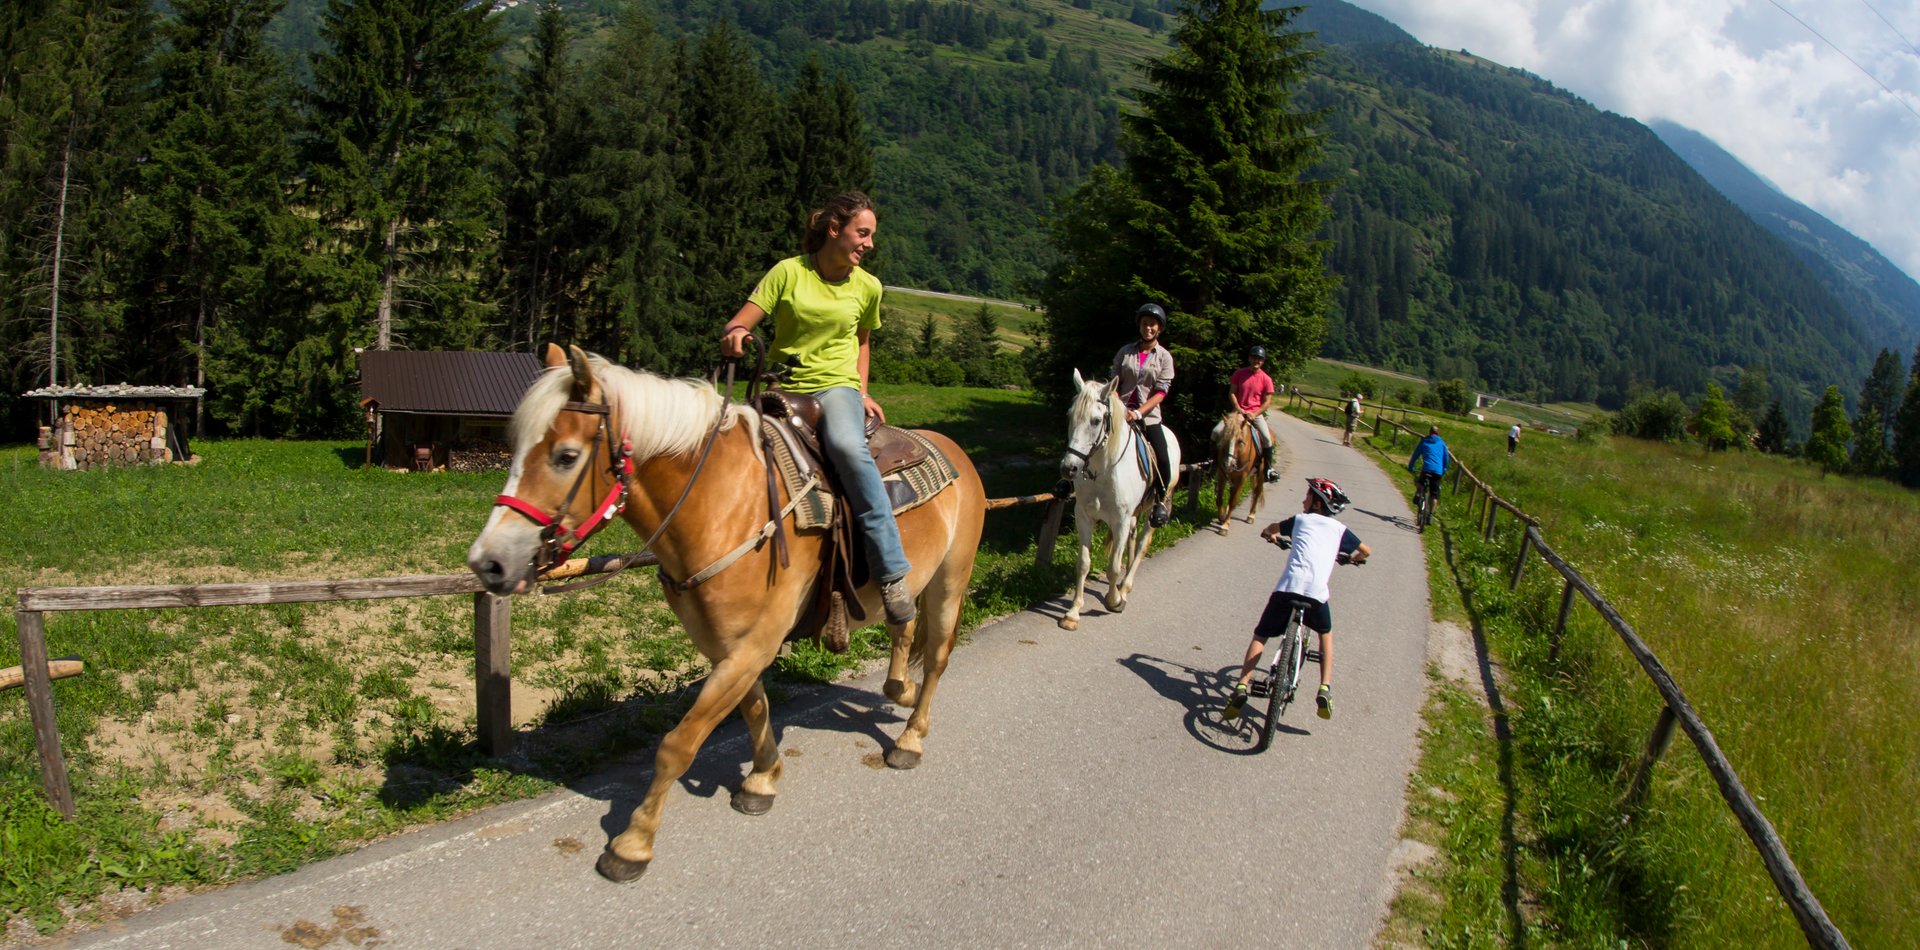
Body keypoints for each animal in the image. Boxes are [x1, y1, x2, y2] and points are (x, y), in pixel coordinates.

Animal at [458, 347, 983, 886]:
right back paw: (899, 689)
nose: (488, 562)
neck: (722, 508)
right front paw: (762, 779)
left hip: (949, 582)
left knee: (937, 657)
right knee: (904, 627)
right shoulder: (725, 646)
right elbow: (754, 710)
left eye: (565, 456)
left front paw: (633, 843)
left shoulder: (752, 646)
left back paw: (910, 738)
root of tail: (956, 453)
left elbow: (677, 744)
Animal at [1059, 370, 1175, 633]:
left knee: (1142, 544)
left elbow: (1113, 566)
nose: (1069, 468)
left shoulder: (1119, 520)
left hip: (1155, 509)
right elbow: (1083, 563)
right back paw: (1124, 585)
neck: (1102, 471)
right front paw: (1073, 613)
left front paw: (1114, 601)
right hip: (1133, 515)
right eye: (1070, 416)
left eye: (1095, 421)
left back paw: (1125, 587)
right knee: (1133, 540)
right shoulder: (1084, 517)